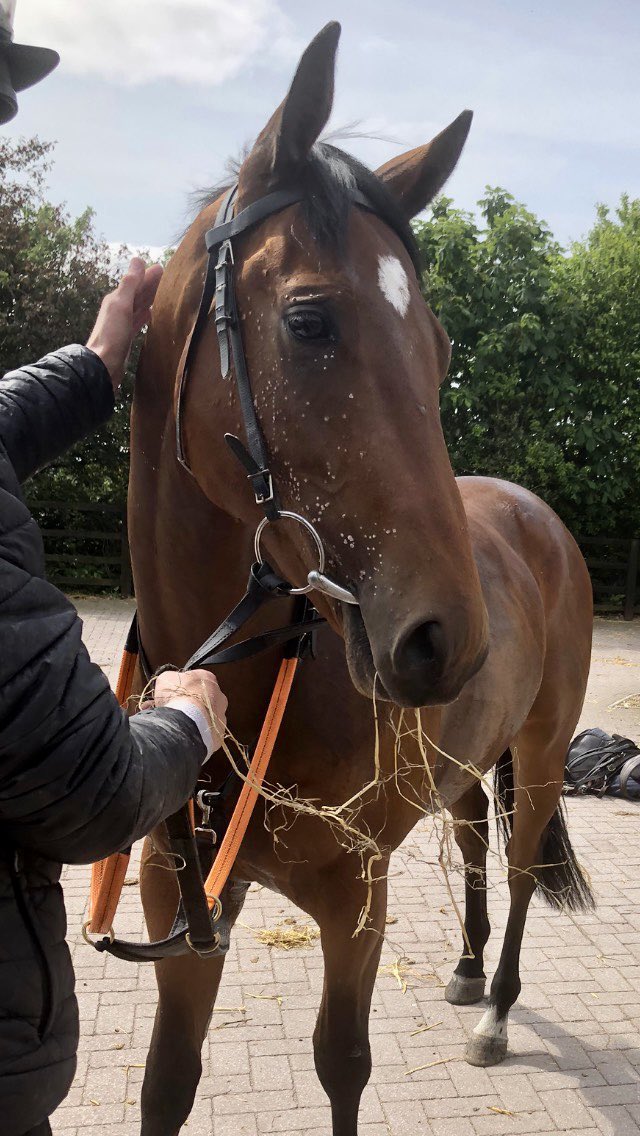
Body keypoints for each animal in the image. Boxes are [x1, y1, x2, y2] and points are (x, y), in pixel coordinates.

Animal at [127, 22, 594, 1136]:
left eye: (441, 344)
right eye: (308, 320)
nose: (444, 641)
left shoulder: (356, 899)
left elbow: (342, 1063)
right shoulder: (180, 906)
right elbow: (168, 1080)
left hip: (542, 753)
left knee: (518, 868)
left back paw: (496, 1009)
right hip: (471, 765)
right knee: (473, 842)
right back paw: (465, 971)